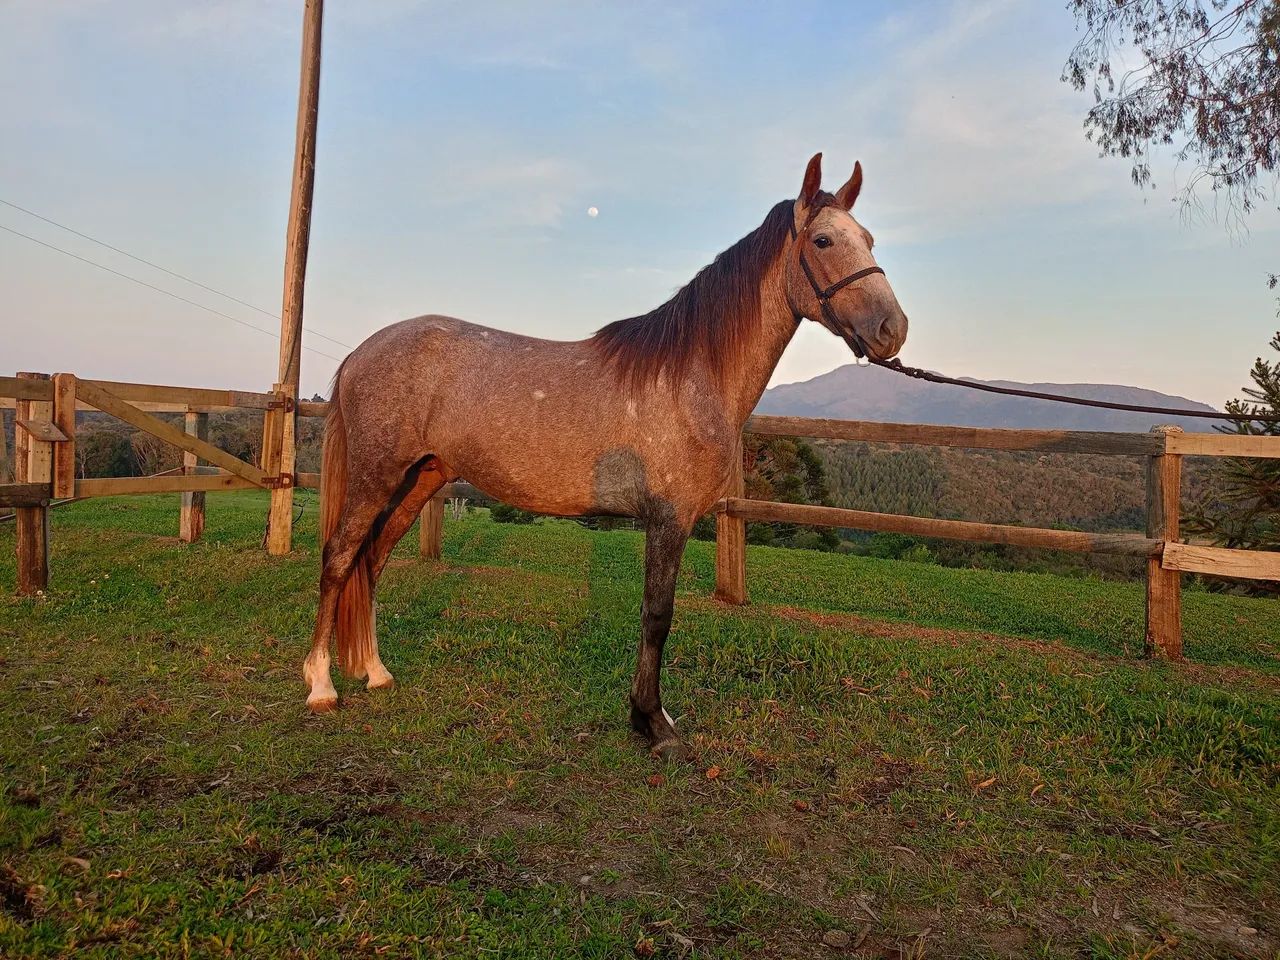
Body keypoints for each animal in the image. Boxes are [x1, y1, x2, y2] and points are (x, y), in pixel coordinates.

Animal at [303, 152, 909, 759]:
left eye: (869, 239)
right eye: (824, 240)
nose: (892, 329)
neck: (689, 376)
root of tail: (361, 353)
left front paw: (649, 716)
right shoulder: (668, 516)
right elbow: (657, 615)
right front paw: (653, 724)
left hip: (420, 478)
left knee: (372, 560)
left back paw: (376, 672)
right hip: (375, 476)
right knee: (339, 558)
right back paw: (321, 685)